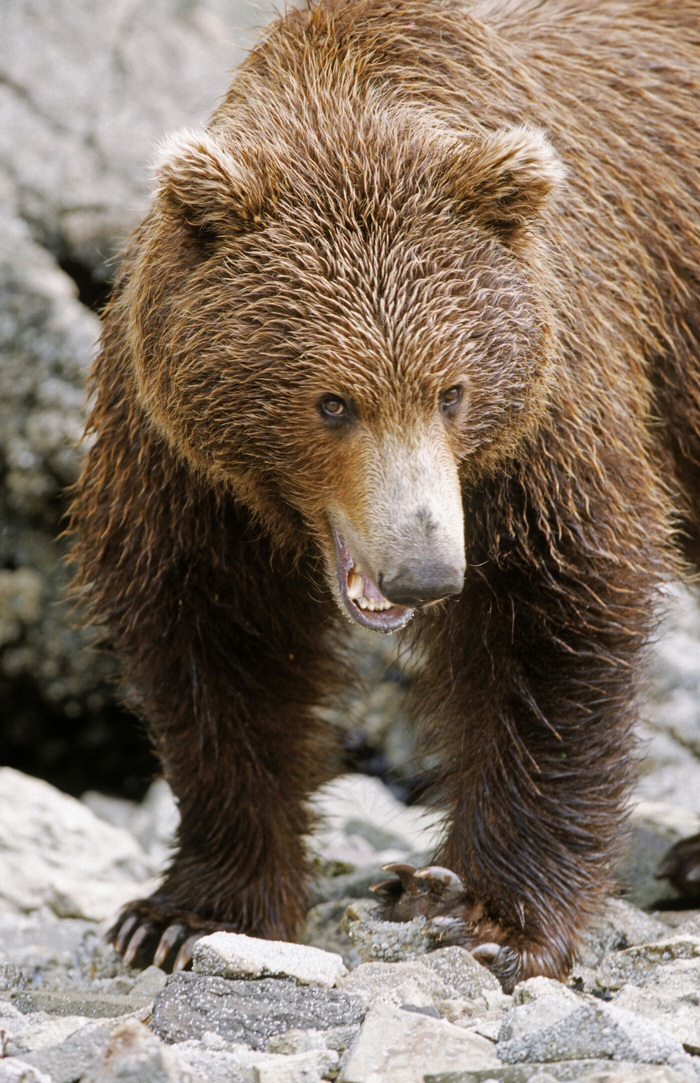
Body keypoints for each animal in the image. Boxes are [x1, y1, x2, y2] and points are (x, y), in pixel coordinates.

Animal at [69, 0, 700, 992]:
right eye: (332, 401)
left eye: (452, 390)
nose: (425, 570)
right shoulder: (184, 465)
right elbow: (217, 652)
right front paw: (182, 916)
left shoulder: (547, 419)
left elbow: (554, 629)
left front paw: (492, 917)